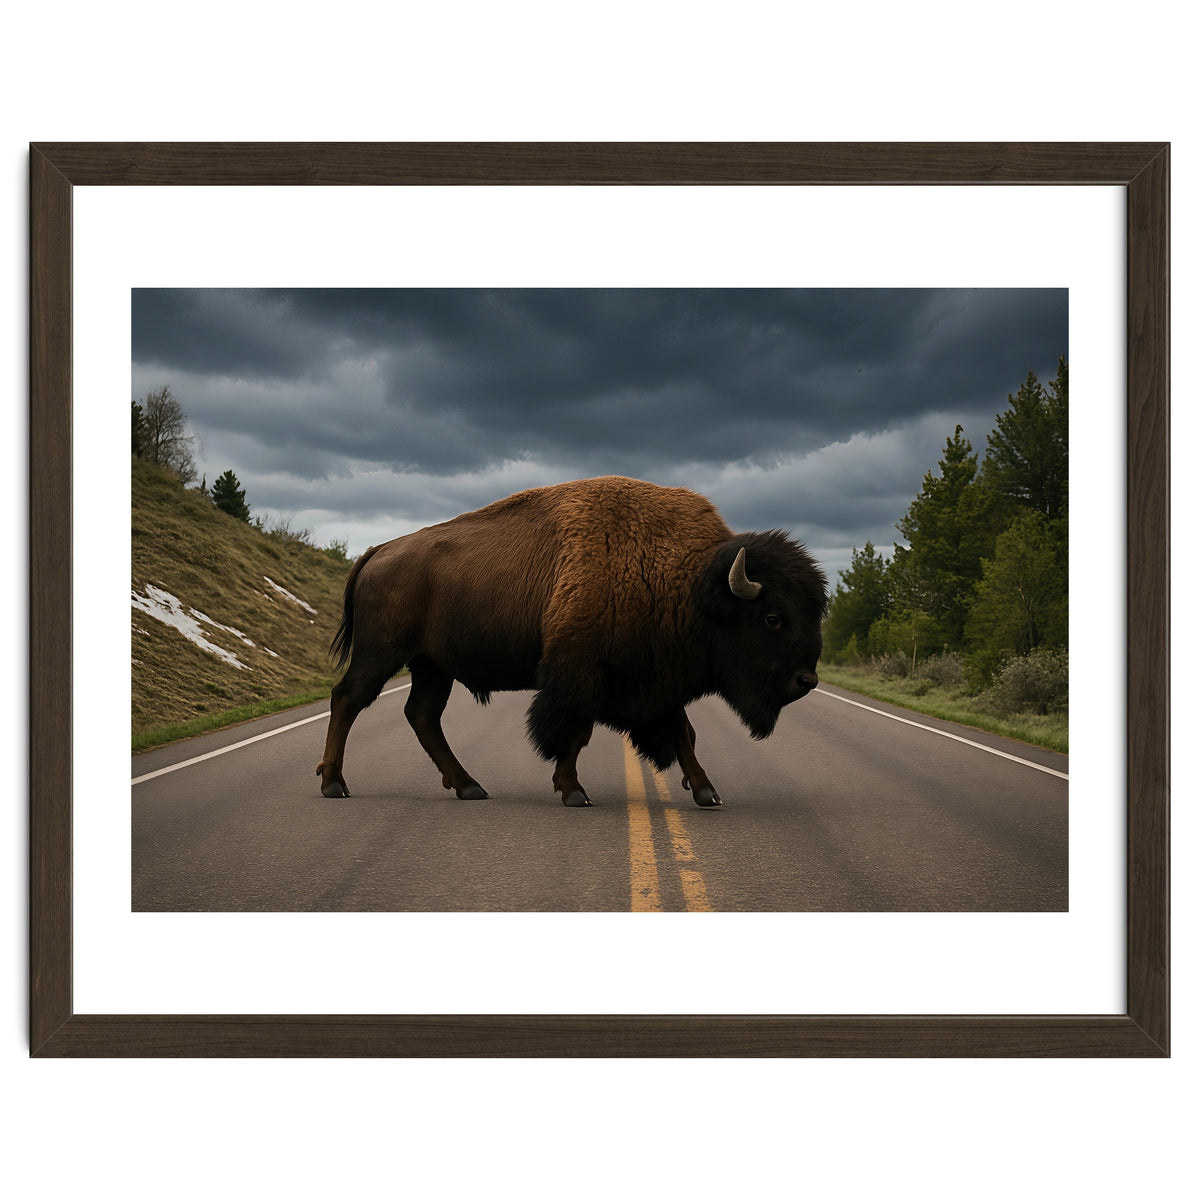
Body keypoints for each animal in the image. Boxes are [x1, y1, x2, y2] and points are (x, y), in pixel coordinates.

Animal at [317, 476, 828, 807]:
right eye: (773, 618)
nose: (807, 680)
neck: (689, 582)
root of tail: (378, 550)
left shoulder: (654, 681)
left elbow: (682, 732)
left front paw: (706, 791)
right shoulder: (581, 674)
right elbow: (575, 731)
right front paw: (573, 791)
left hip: (431, 666)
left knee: (421, 715)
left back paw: (469, 787)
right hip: (383, 653)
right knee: (348, 698)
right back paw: (334, 784)